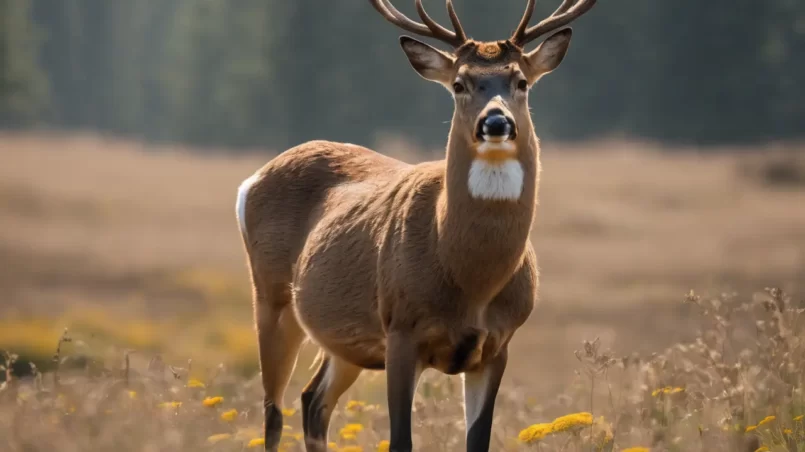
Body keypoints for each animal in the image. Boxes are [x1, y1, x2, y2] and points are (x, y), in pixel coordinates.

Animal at [236, 1, 592, 450]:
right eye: (459, 83)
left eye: (521, 81)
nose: (496, 122)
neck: (471, 281)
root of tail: (252, 180)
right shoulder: (402, 330)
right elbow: (400, 439)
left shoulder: (498, 344)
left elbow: (478, 440)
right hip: (271, 296)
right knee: (273, 412)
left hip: (345, 340)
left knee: (312, 400)